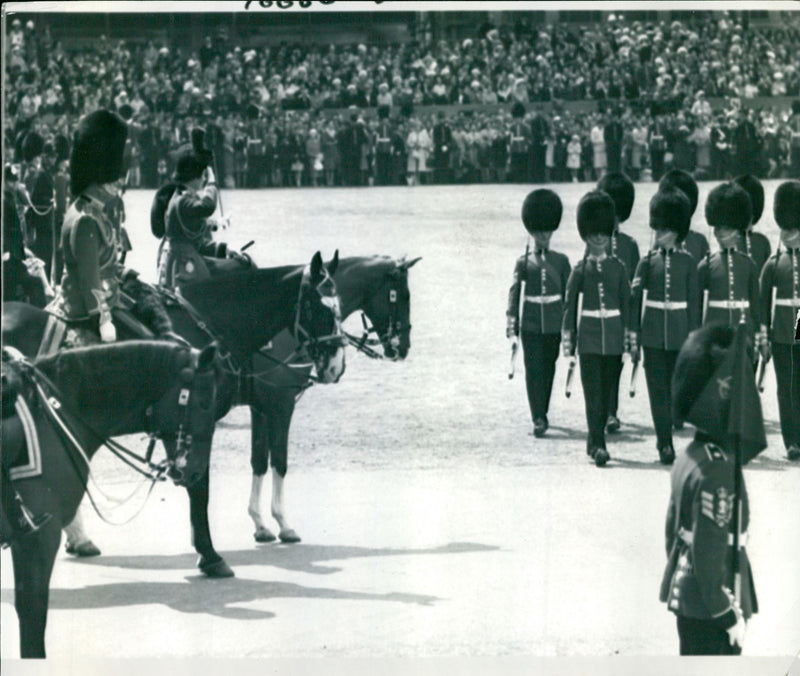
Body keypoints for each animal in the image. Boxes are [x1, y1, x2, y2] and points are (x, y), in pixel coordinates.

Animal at [3, 251, 346, 580]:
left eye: (339, 309)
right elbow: (203, 486)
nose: (336, 365)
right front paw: (211, 555)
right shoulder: (206, 421)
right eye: (324, 310)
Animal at [248, 254, 424, 544]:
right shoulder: (281, 405)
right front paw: (282, 521)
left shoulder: (261, 408)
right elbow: (280, 462)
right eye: (404, 296)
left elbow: (260, 461)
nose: (403, 347)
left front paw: (260, 523)